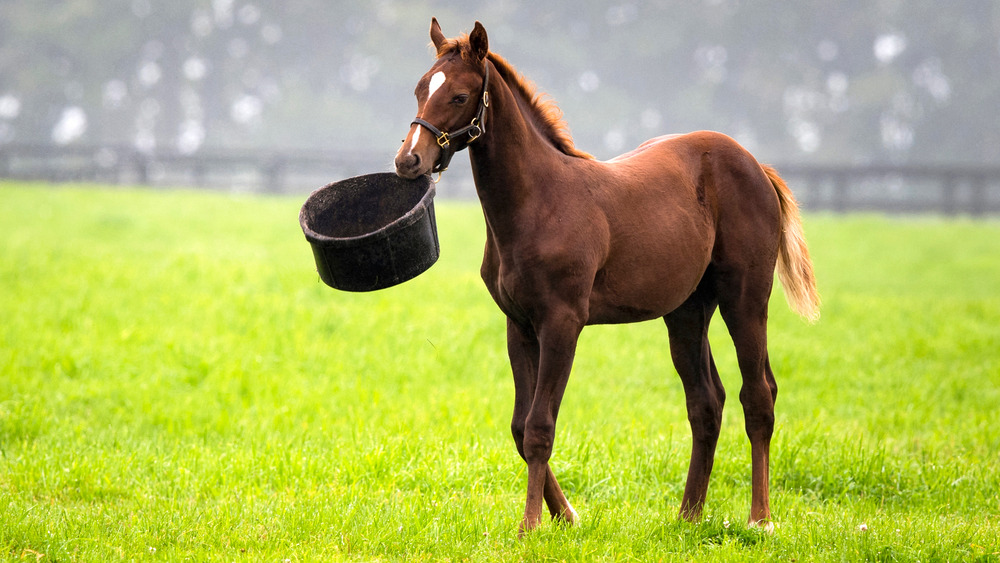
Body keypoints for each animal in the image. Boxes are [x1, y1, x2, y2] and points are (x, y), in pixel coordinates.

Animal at [392, 18, 820, 536]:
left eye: (458, 95)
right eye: (420, 89)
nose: (408, 160)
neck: (538, 202)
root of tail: (755, 165)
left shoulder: (562, 323)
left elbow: (540, 426)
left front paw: (532, 525)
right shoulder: (519, 326)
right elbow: (519, 426)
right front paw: (566, 516)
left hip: (746, 298)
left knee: (757, 397)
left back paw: (760, 519)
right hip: (687, 312)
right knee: (706, 402)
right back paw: (688, 516)